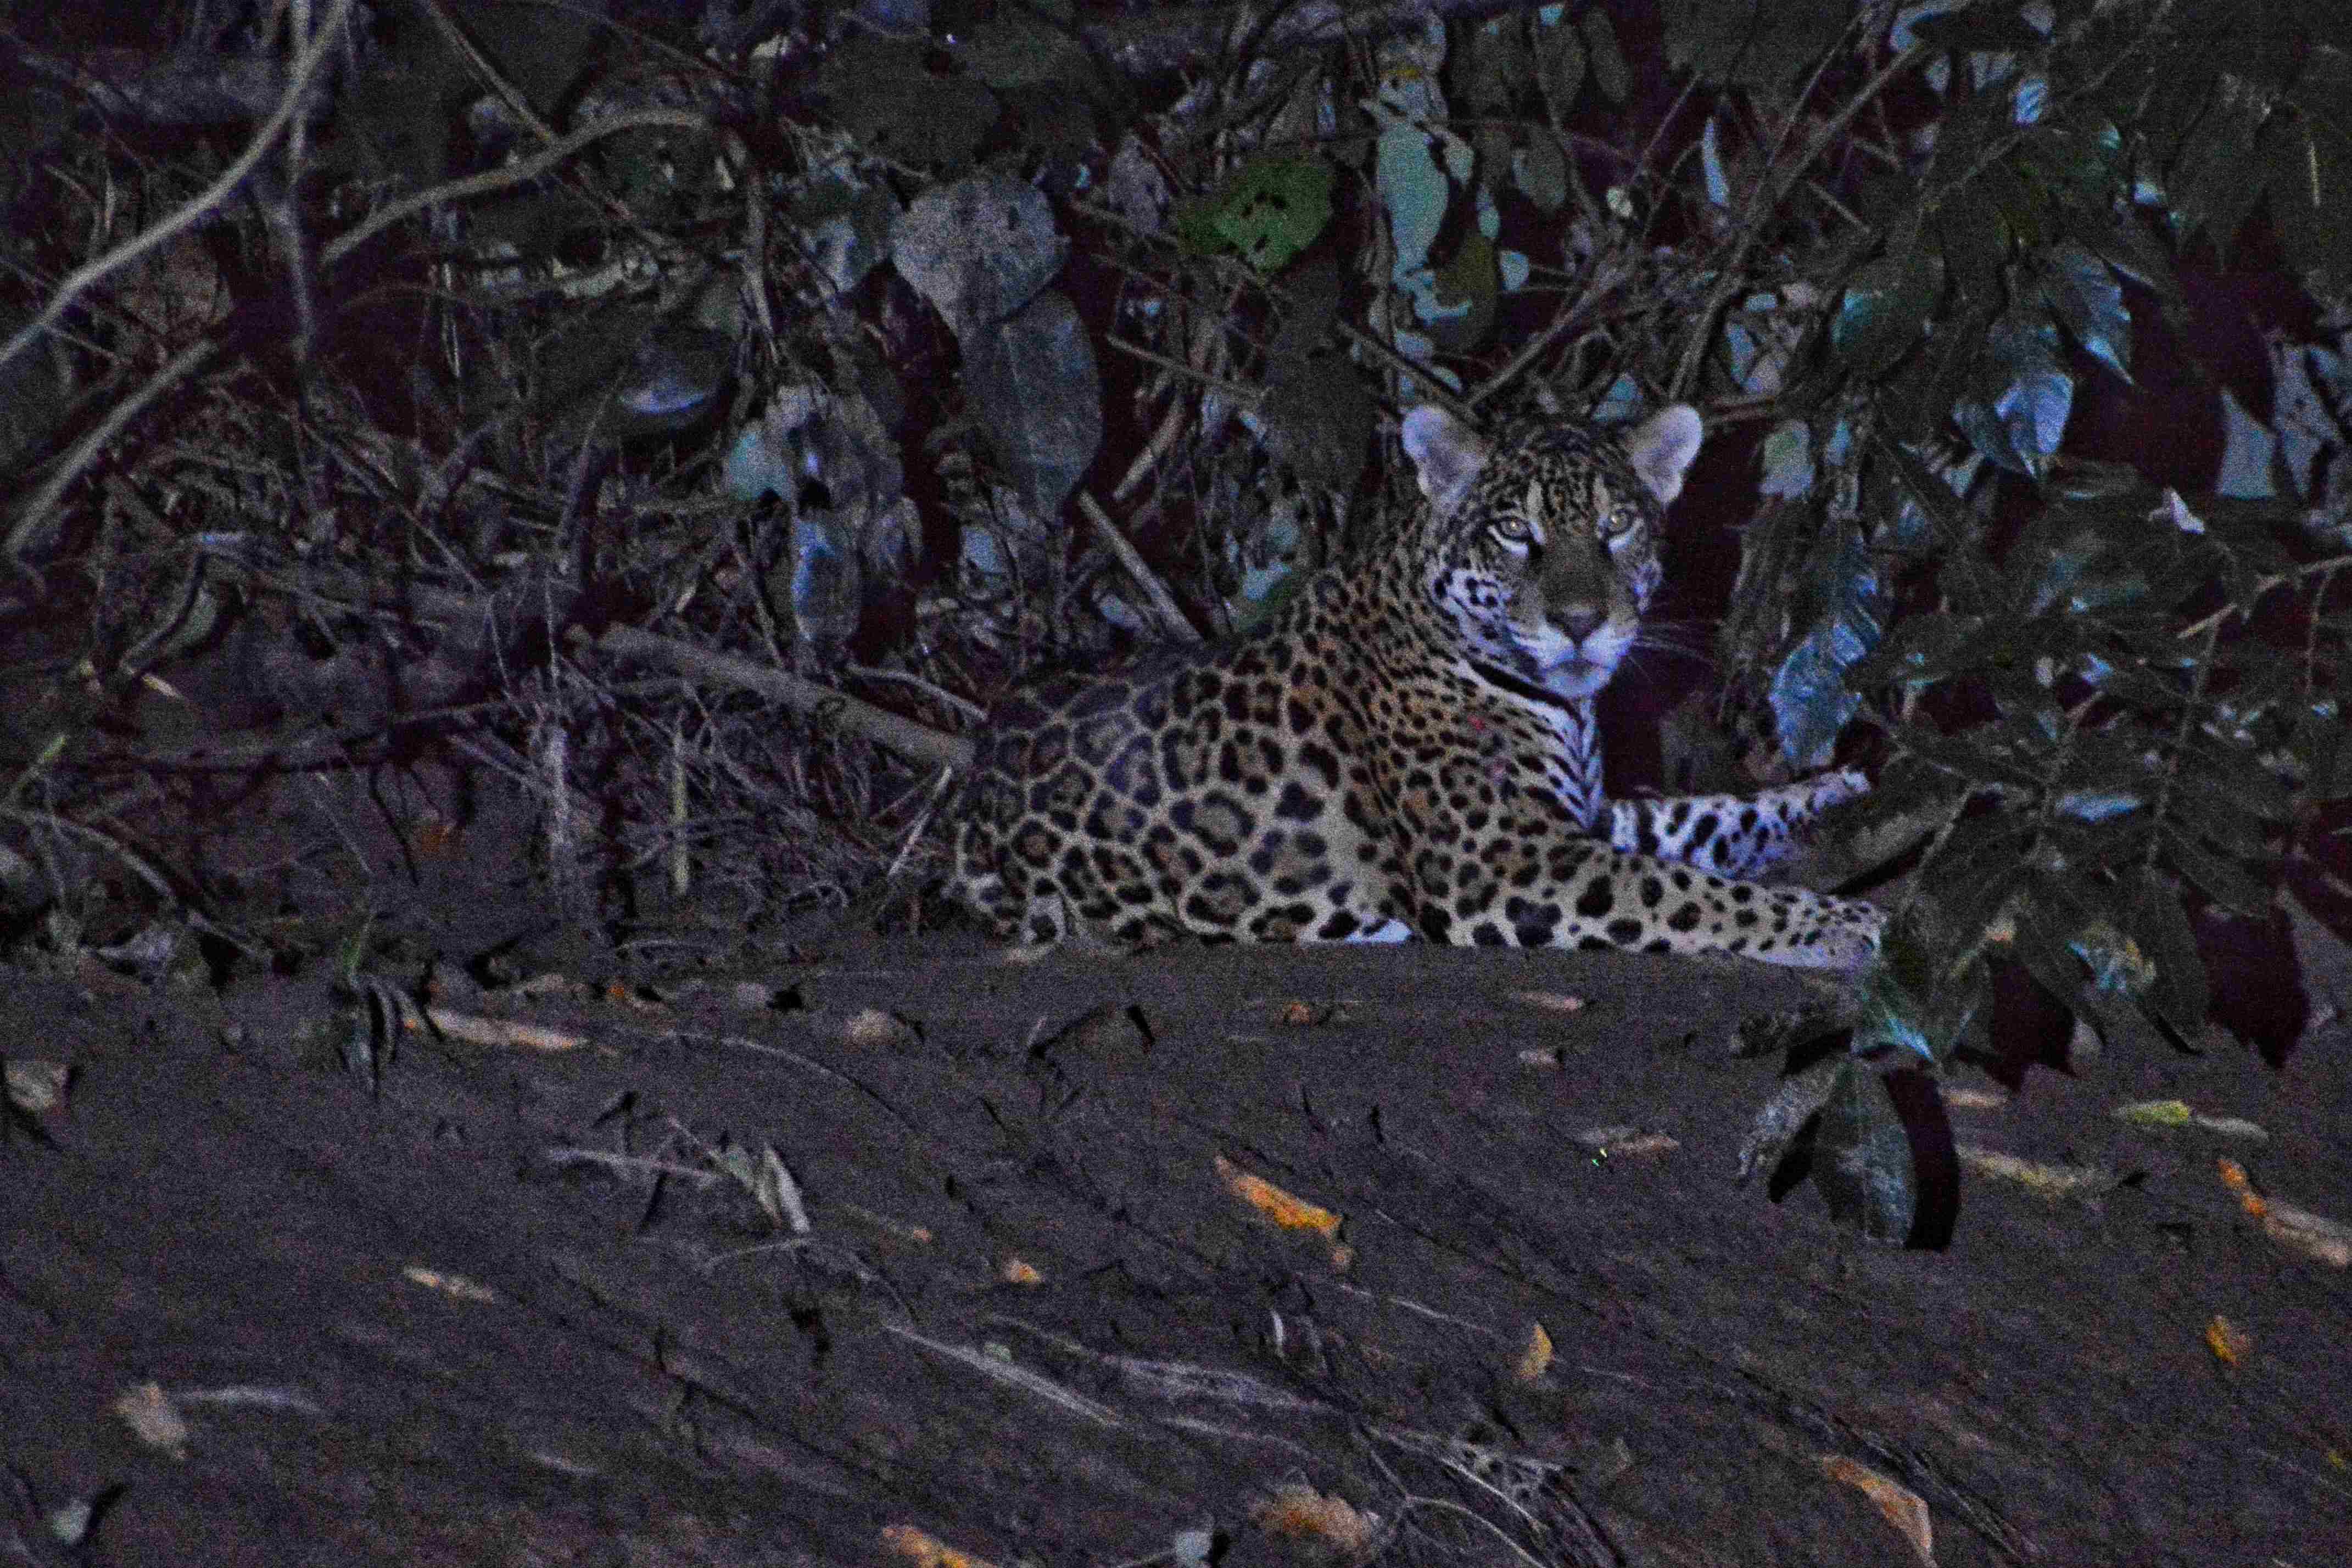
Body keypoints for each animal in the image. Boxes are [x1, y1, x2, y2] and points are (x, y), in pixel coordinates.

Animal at [948, 402, 1884, 971]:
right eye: (1514, 533)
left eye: (1615, 527)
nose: (1581, 622)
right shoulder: (1506, 863)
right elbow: (1689, 891)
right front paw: (1837, 926)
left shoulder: (1584, 819)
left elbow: (1707, 817)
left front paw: (1837, 787)